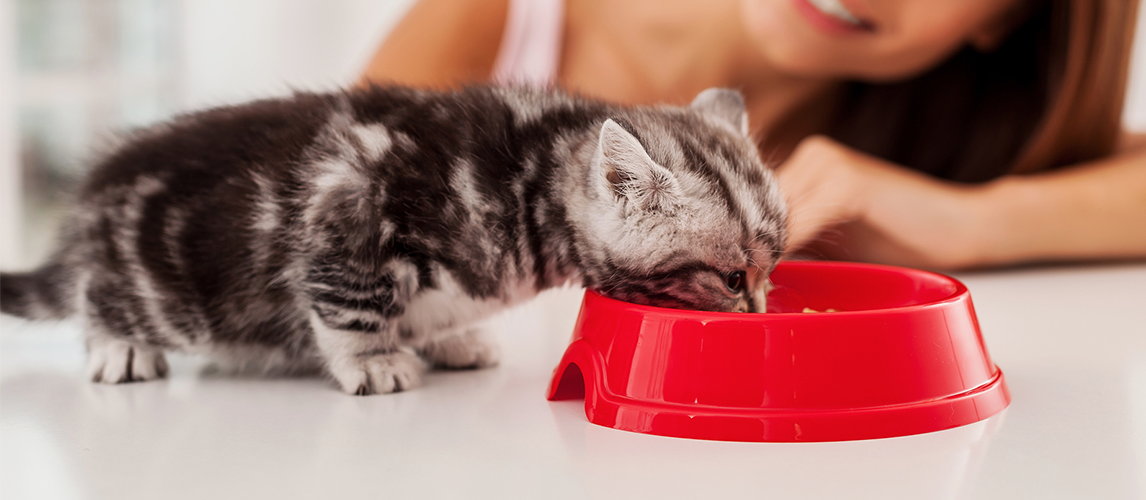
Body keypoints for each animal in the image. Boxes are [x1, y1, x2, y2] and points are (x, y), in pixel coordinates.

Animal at [0, 84, 788, 394]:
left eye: (771, 268)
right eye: (731, 278)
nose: (760, 315)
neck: (528, 179)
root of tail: (89, 207)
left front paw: (448, 338)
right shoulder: (346, 213)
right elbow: (350, 304)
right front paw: (374, 361)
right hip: (169, 293)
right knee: (97, 297)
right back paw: (118, 346)